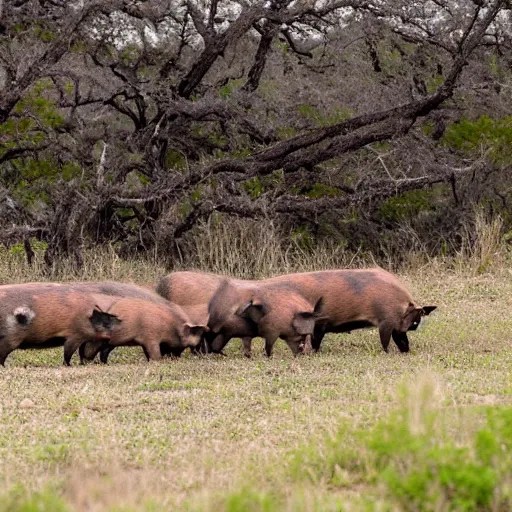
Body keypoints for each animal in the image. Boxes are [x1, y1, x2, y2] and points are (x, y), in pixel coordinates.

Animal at [264, 268, 436, 352]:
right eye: (414, 318)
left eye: (418, 317)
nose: (414, 325)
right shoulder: (386, 321)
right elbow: (385, 341)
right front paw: (388, 352)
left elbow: (400, 339)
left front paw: (405, 350)